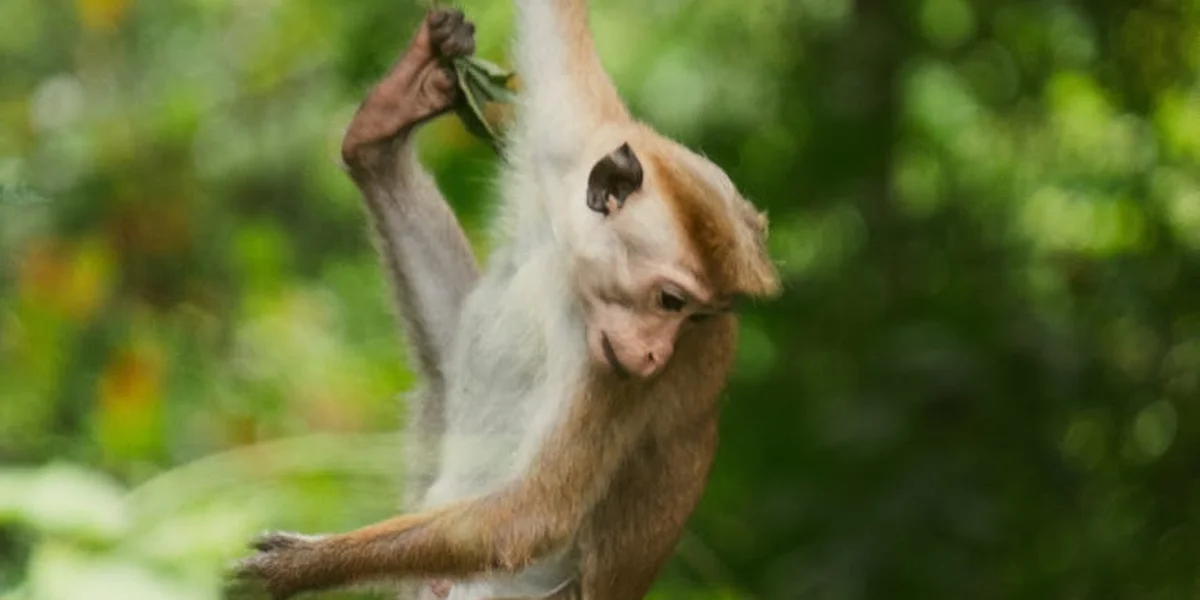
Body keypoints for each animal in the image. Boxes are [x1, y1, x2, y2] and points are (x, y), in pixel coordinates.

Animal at [229, 1, 779, 599]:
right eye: (673, 301)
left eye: (696, 316)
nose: (657, 354)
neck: (569, 273)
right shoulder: (573, 123)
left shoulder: (616, 378)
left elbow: (529, 516)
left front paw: (303, 564)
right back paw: (377, 138)